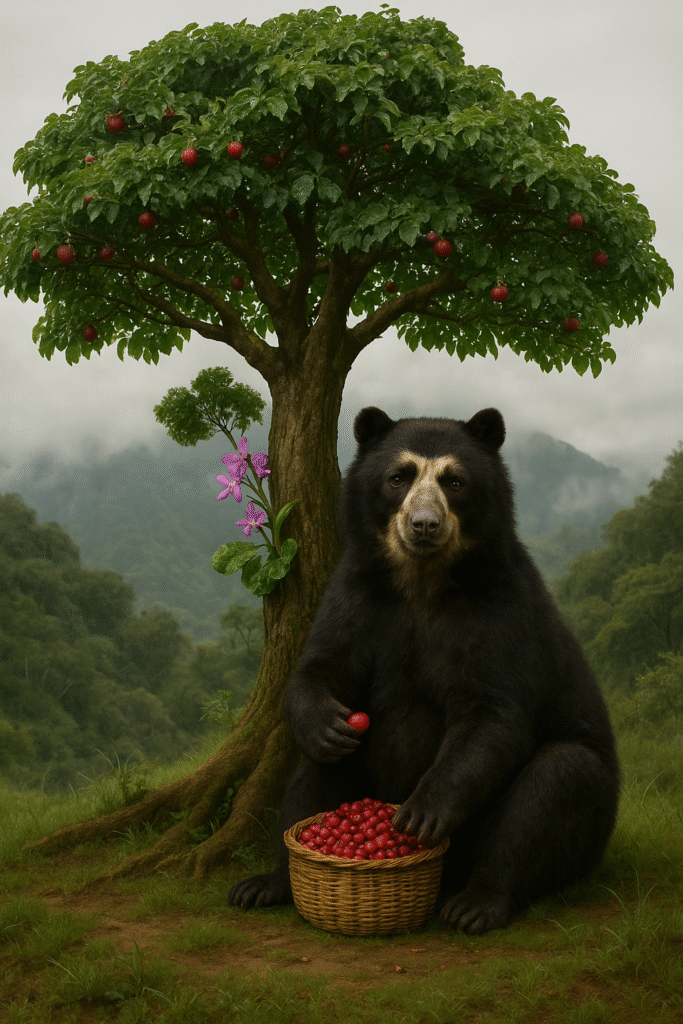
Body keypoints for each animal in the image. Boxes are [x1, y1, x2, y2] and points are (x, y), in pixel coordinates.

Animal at [228, 406, 621, 934]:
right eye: (399, 477)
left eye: (454, 480)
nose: (424, 525)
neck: (422, 582)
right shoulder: (354, 595)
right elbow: (324, 664)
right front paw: (323, 724)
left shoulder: (502, 610)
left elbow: (493, 711)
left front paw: (420, 814)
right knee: (314, 774)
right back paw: (265, 884)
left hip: (589, 818)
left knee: (554, 784)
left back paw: (475, 904)